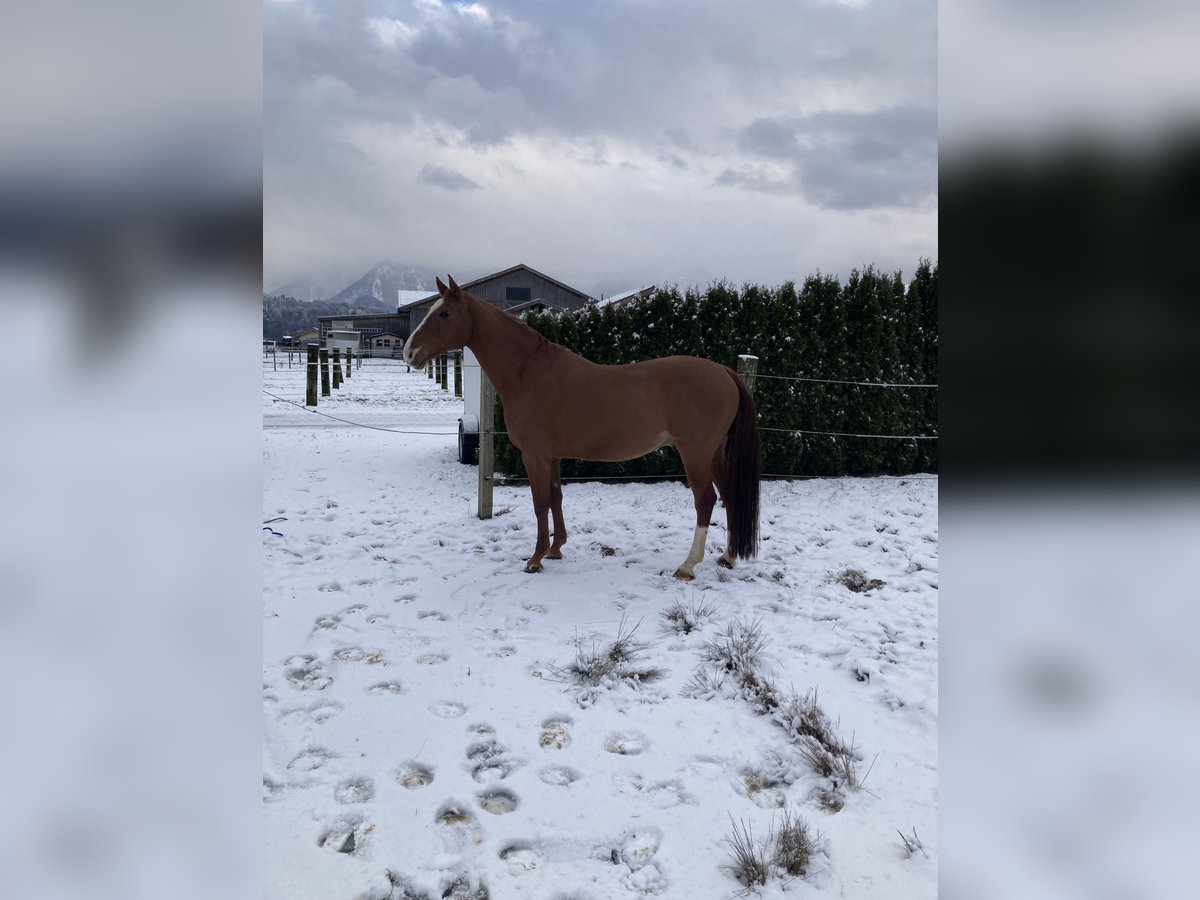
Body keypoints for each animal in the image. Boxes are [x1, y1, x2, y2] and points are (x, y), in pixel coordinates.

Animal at [403, 278, 758, 580]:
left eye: (444, 313)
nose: (409, 352)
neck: (529, 372)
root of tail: (724, 371)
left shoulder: (535, 455)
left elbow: (540, 502)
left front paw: (535, 559)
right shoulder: (553, 456)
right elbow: (556, 497)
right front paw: (556, 548)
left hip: (695, 453)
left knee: (706, 501)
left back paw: (687, 565)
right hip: (714, 454)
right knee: (730, 495)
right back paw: (727, 557)